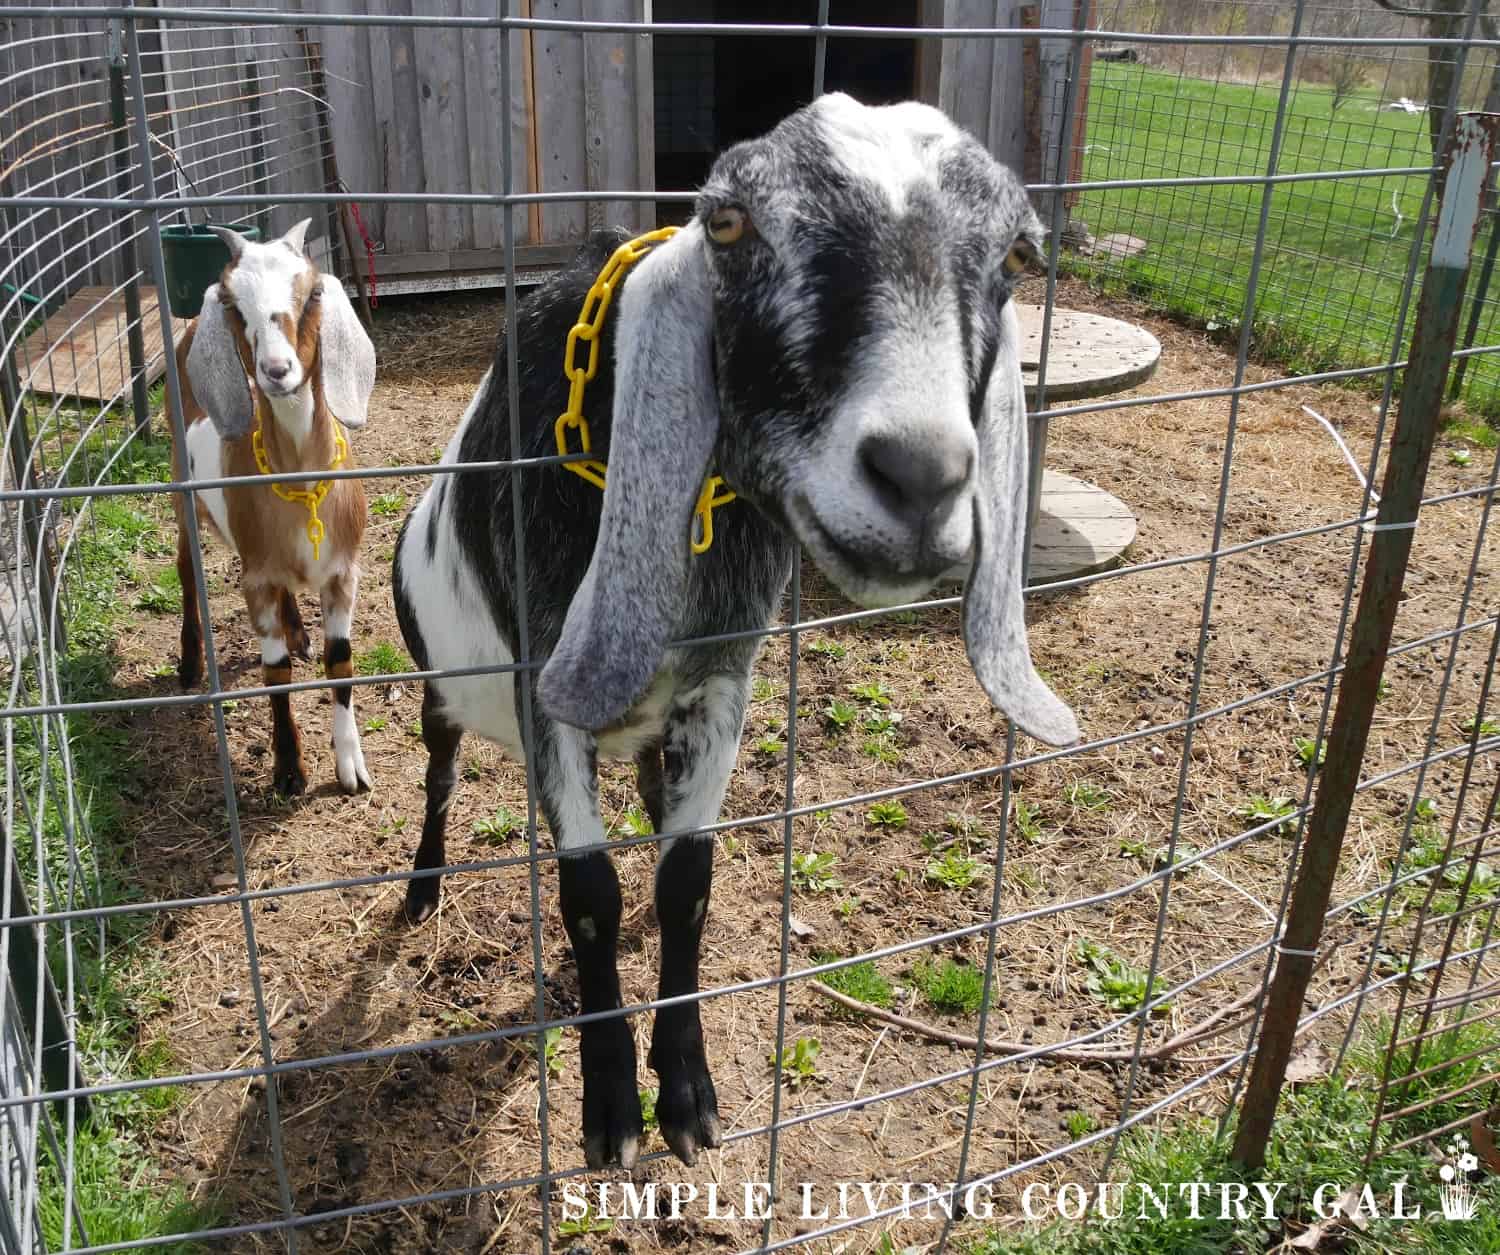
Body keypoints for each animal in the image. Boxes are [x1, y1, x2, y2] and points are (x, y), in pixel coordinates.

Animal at [174, 220, 375, 791]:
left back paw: (298, 629)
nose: (277, 370)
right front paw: (288, 770)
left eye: (312, 293)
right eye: (233, 303)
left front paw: (351, 765)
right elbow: (275, 674)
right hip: (180, 491)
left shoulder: (343, 574)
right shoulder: (256, 582)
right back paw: (190, 663)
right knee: (185, 570)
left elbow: (341, 661)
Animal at [393, 92, 1086, 1169]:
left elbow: (686, 877)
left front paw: (684, 1088)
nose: (922, 476)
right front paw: (610, 1105)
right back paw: (423, 886)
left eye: (1017, 252)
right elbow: (587, 894)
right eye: (727, 223)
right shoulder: (546, 681)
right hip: (438, 681)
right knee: (438, 772)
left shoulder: (722, 678)